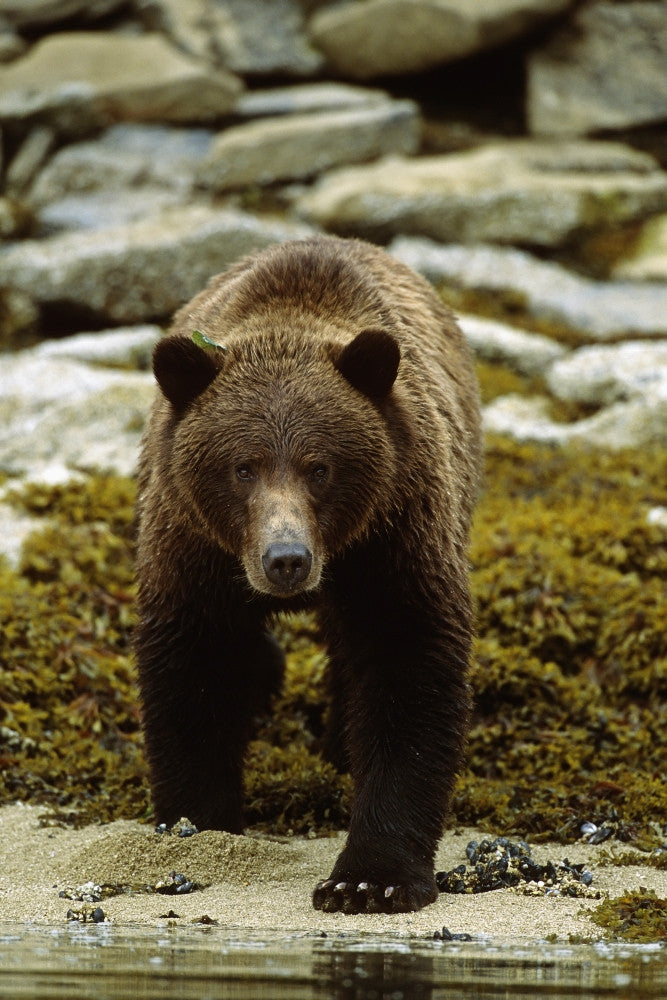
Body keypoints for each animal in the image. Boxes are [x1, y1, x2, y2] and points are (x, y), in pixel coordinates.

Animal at [135, 235, 482, 914]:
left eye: (319, 466)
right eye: (242, 467)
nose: (286, 559)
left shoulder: (394, 539)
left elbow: (408, 668)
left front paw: (369, 879)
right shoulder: (194, 548)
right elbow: (195, 672)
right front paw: (195, 826)